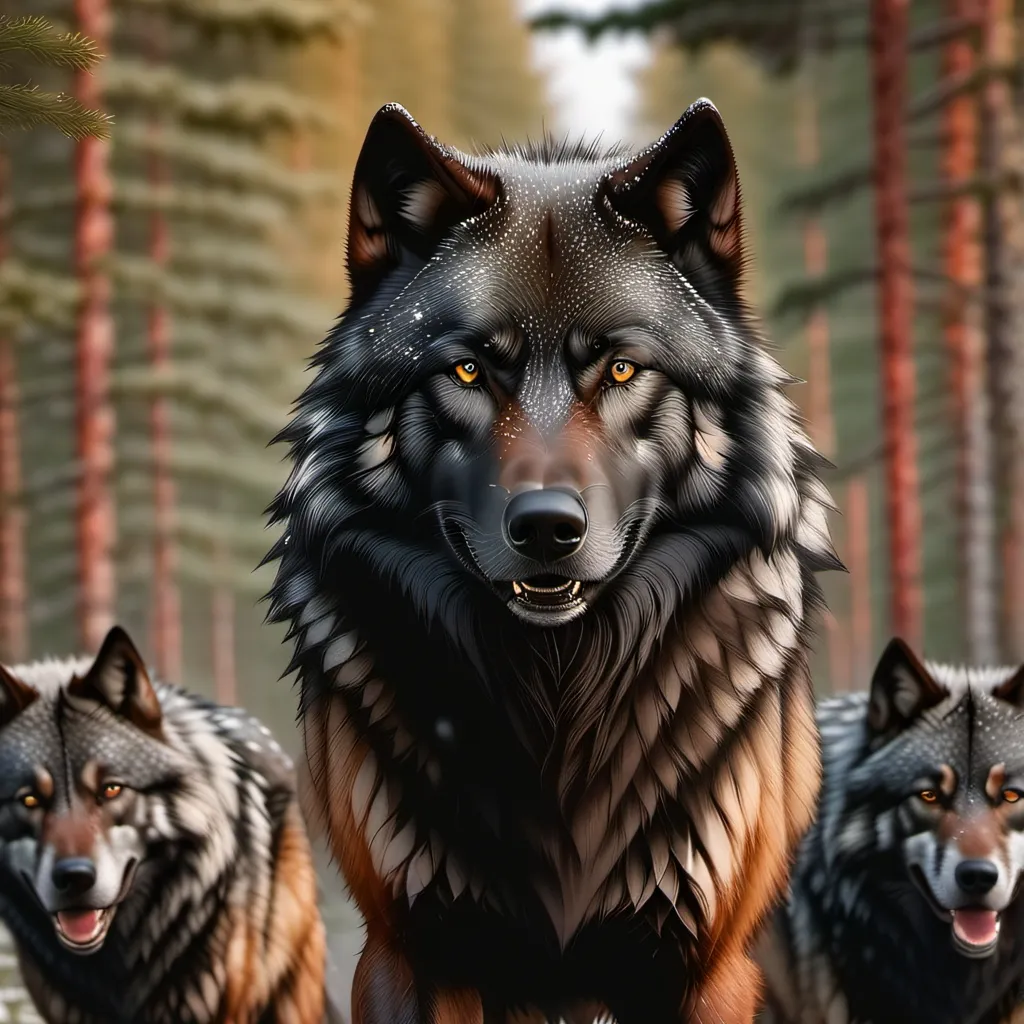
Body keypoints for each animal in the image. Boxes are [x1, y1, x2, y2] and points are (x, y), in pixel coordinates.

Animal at [265, 99, 840, 1024]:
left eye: (621, 368)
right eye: (468, 369)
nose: (545, 527)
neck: (558, 688)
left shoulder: (704, 964)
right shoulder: (411, 951)